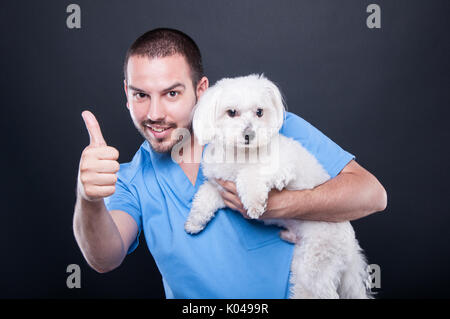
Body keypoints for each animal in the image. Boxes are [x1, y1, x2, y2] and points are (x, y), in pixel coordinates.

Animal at [185, 74, 370, 300]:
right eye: (231, 112)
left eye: (259, 112)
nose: (249, 134)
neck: (241, 155)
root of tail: (351, 248)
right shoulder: (218, 186)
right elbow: (204, 198)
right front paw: (194, 222)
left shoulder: (281, 167)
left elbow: (250, 174)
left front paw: (254, 202)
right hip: (303, 261)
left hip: (316, 265)